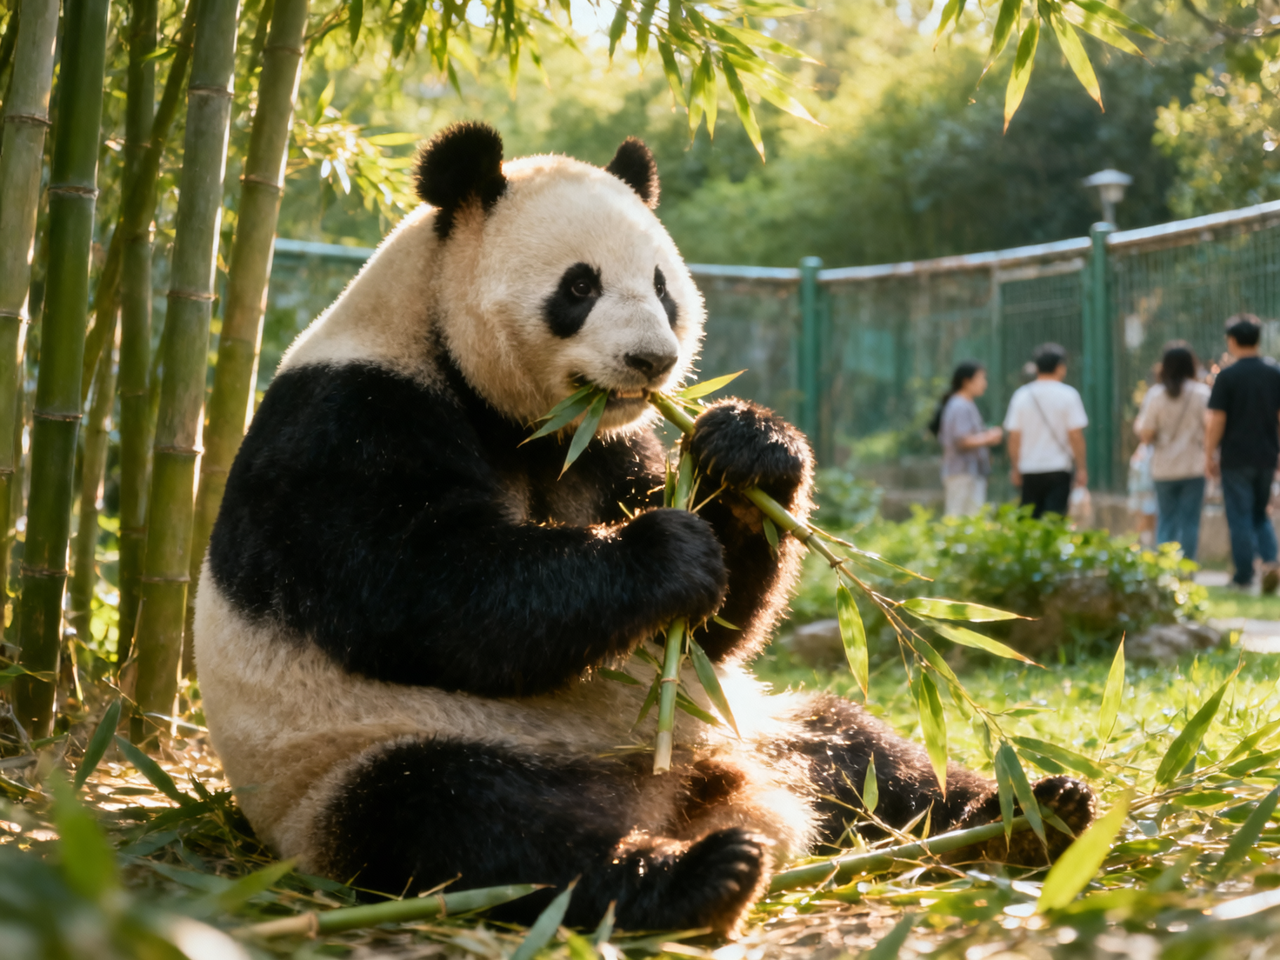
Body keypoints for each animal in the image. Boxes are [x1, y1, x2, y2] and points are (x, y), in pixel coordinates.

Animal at [195, 121, 1094, 937]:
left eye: (664, 287)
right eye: (578, 287)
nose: (652, 362)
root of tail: (697, 788)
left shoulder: (610, 443)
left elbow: (711, 634)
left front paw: (750, 451)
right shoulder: (350, 420)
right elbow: (424, 591)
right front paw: (665, 552)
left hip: (764, 724)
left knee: (868, 754)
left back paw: (1030, 813)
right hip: (358, 763)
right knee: (469, 824)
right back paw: (696, 878)